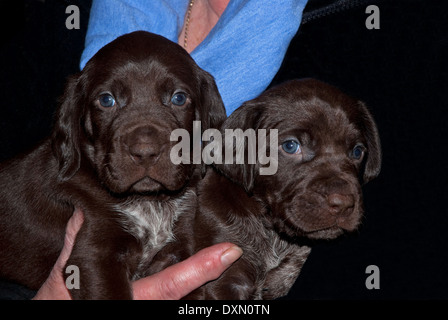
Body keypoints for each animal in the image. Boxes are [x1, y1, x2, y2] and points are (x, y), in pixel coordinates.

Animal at [0, 31, 226, 298]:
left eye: (178, 98)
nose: (145, 152)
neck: (149, 201)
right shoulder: (93, 257)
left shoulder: (179, 247)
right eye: (107, 100)